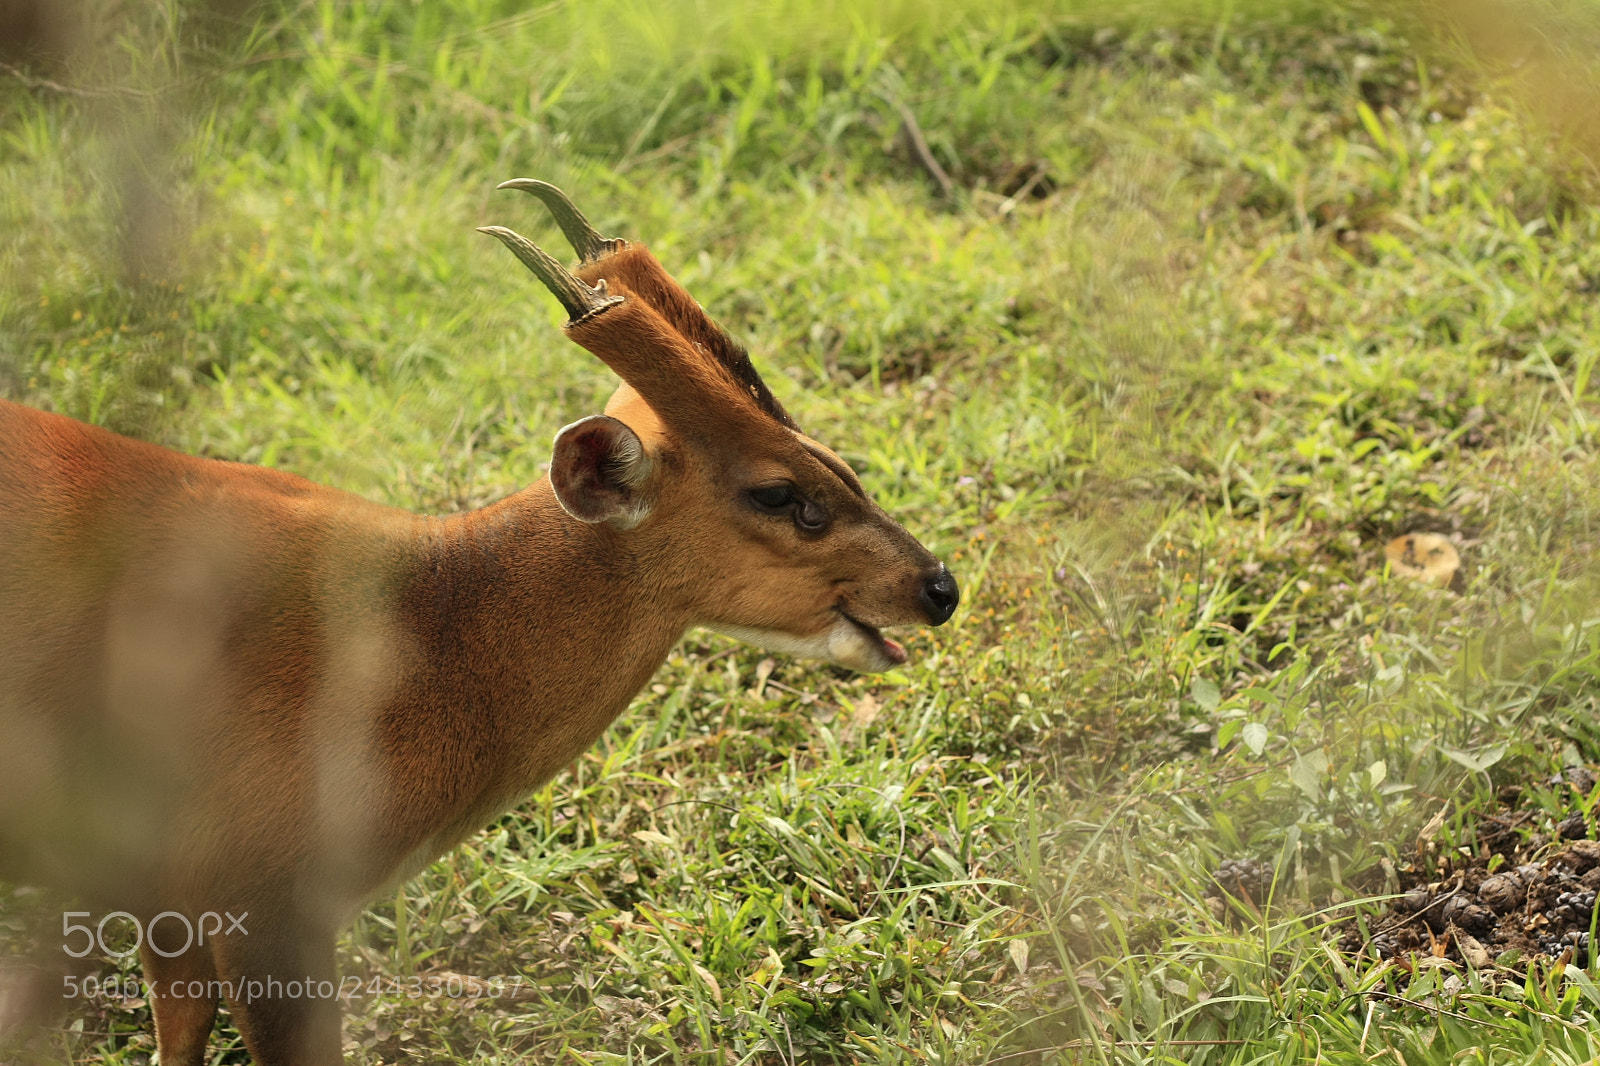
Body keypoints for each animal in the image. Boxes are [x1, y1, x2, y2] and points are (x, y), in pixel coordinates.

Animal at [0, 180, 958, 1064]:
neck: (428, 638)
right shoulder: (258, 895)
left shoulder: (166, 890)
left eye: (838, 459)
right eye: (779, 493)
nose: (938, 587)